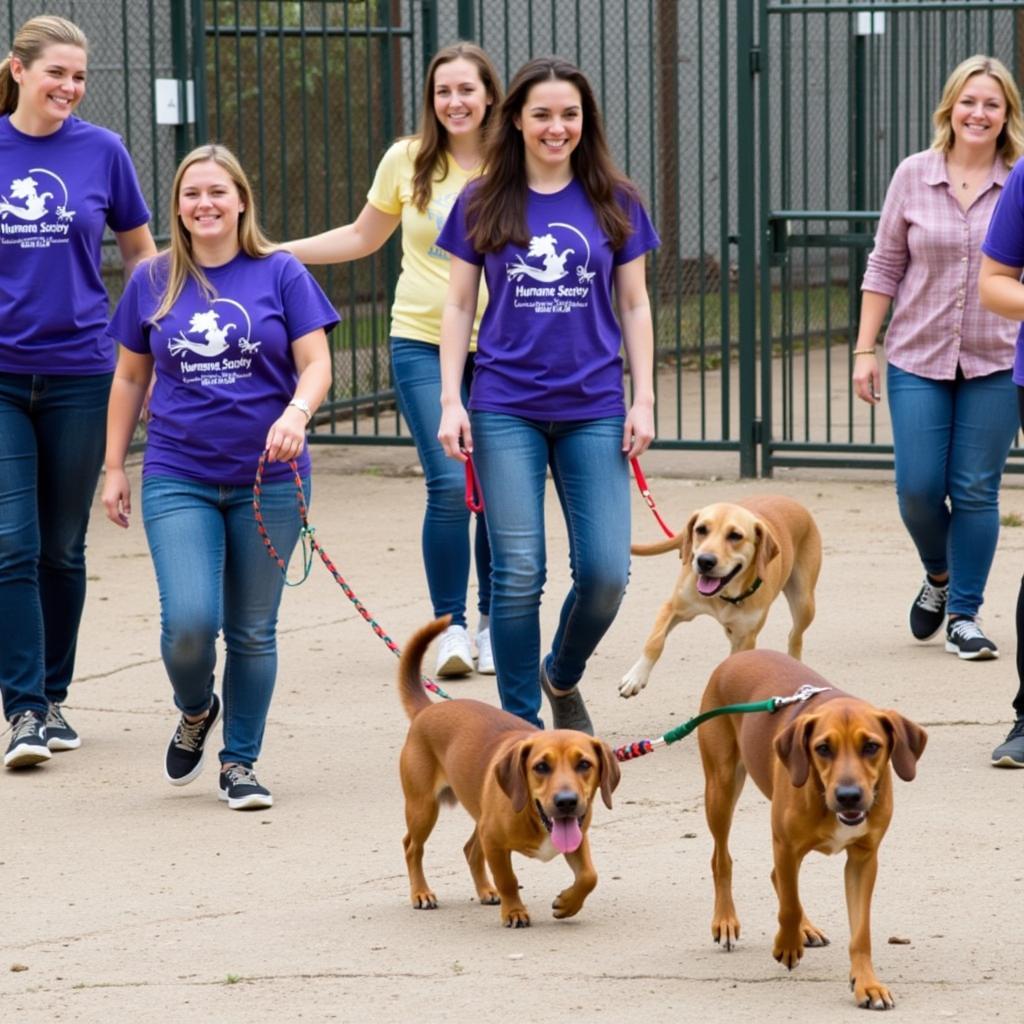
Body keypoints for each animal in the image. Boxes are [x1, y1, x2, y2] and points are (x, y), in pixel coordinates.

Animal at [395, 614, 618, 929]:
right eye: (541, 767)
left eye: (584, 764)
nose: (566, 802)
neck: (535, 818)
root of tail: (427, 709)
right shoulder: (494, 842)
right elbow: (508, 879)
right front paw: (514, 911)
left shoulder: (577, 838)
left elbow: (589, 876)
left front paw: (568, 904)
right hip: (423, 808)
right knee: (412, 847)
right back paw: (421, 893)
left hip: (476, 814)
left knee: (470, 849)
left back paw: (486, 891)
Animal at [614, 493, 823, 700]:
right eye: (701, 530)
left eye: (735, 536)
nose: (704, 561)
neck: (722, 595)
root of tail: (788, 499)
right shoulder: (672, 607)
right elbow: (655, 642)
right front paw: (636, 676)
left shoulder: (746, 636)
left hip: (804, 603)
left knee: (795, 635)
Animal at [696, 647, 929, 1007]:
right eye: (822, 748)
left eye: (871, 746)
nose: (849, 796)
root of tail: (742, 654)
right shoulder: (785, 844)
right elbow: (790, 905)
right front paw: (787, 944)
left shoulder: (863, 859)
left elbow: (861, 932)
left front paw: (867, 984)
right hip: (720, 787)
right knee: (722, 859)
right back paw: (726, 921)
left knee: (777, 876)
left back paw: (806, 929)